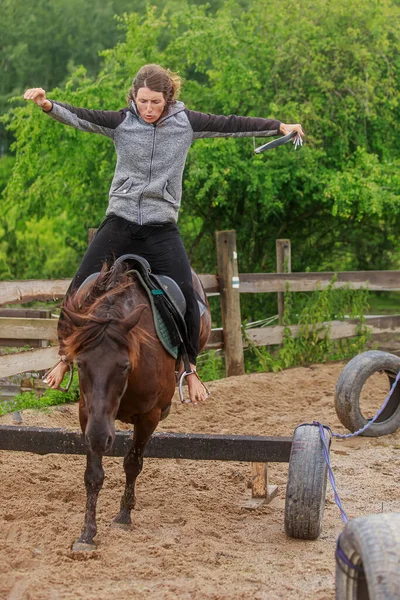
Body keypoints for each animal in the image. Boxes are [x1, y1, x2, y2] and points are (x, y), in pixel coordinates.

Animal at [61, 260, 211, 552]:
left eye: (124, 366)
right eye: (81, 364)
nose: (100, 437)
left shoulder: (148, 417)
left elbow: (132, 463)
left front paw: (123, 516)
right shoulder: (88, 415)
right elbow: (93, 474)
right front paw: (87, 533)